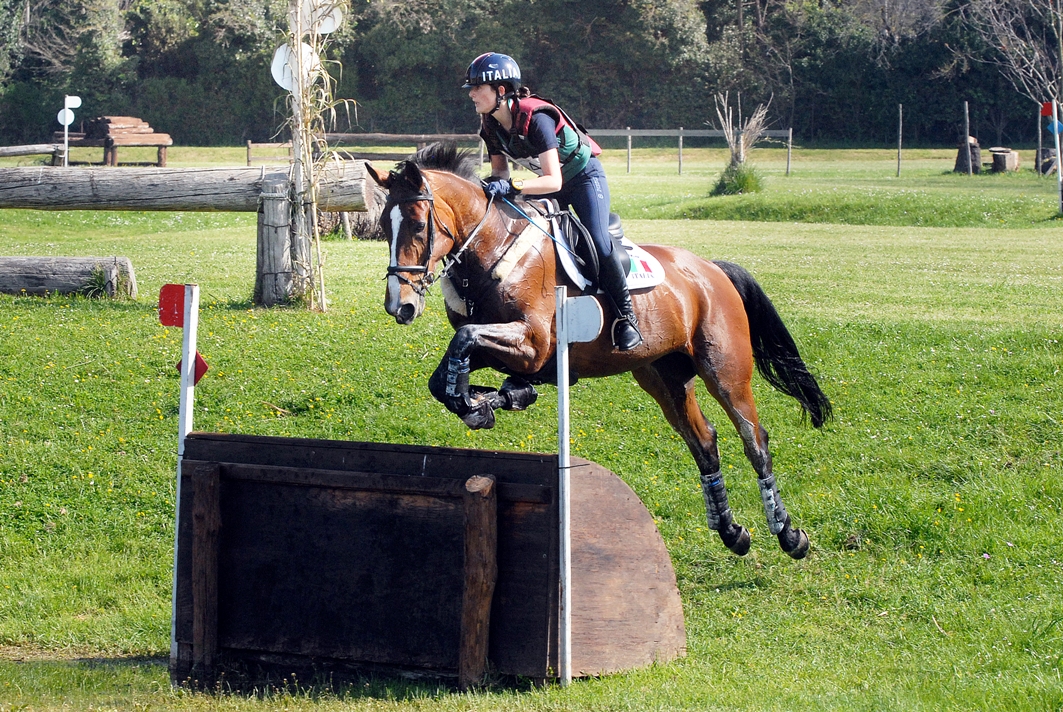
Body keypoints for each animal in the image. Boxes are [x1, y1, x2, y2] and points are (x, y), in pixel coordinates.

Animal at [365, 142, 829, 561]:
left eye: (418, 225)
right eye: (385, 226)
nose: (399, 306)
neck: (493, 248)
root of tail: (711, 269)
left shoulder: (533, 345)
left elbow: (463, 343)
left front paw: (490, 400)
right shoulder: (502, 346)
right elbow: (446, 373)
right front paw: (487, 401)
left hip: (725, 370)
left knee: (754, 439)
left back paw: (789, 535)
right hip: (664, 376)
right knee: (703, 441)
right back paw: (733, 533)